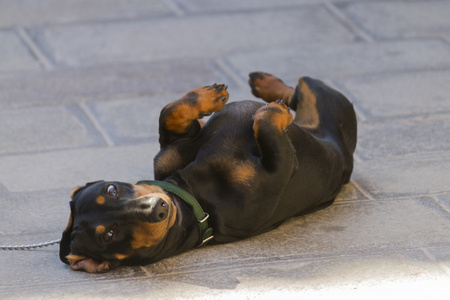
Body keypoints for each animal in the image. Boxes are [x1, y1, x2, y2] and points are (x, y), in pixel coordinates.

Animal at [59, 72, 356, 272]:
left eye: (111, 189)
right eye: (109, 234)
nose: (157, 207)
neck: (193, 195)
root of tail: (348, 158)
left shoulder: (172, 149)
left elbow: (169, 112)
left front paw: (210, 96)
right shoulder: (280, 171)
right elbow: (264, 123)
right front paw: (275, 112)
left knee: (297, 88)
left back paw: (263, 82)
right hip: (328, 103)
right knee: (301, 90)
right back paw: (274, 97)